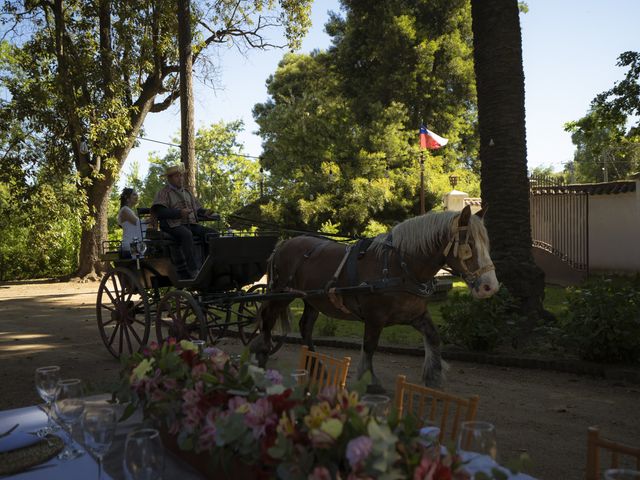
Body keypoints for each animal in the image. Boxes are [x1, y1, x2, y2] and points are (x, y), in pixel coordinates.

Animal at [251, 206, 500, 390]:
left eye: (486, 243)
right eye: (468, 245)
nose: (490, 286)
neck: (400, 266)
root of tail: (284, 244)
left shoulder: (417, 314)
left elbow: (434, 338)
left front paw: (433, 375)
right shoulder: (374, 318)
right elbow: (370, 347)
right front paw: (369, 380)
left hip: (313, 300)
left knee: (305, 327)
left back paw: (316, 366)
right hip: (281, 294)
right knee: (267, 319)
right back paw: (262, 355)